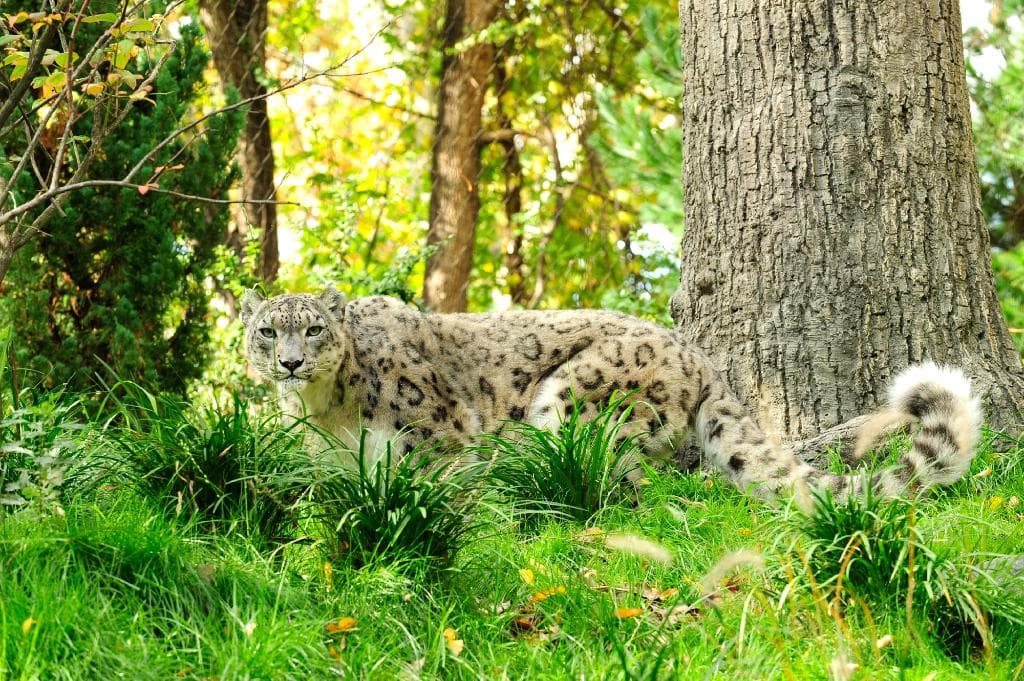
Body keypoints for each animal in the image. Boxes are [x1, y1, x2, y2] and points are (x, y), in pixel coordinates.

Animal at [240, 286, 982, 505]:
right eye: (265, 330)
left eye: (313, 327)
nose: (290, 361)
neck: (325, 414)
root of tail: (702, 360)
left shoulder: (438, 431)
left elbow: (441, 479)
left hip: (574, 395)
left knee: (626, 481)